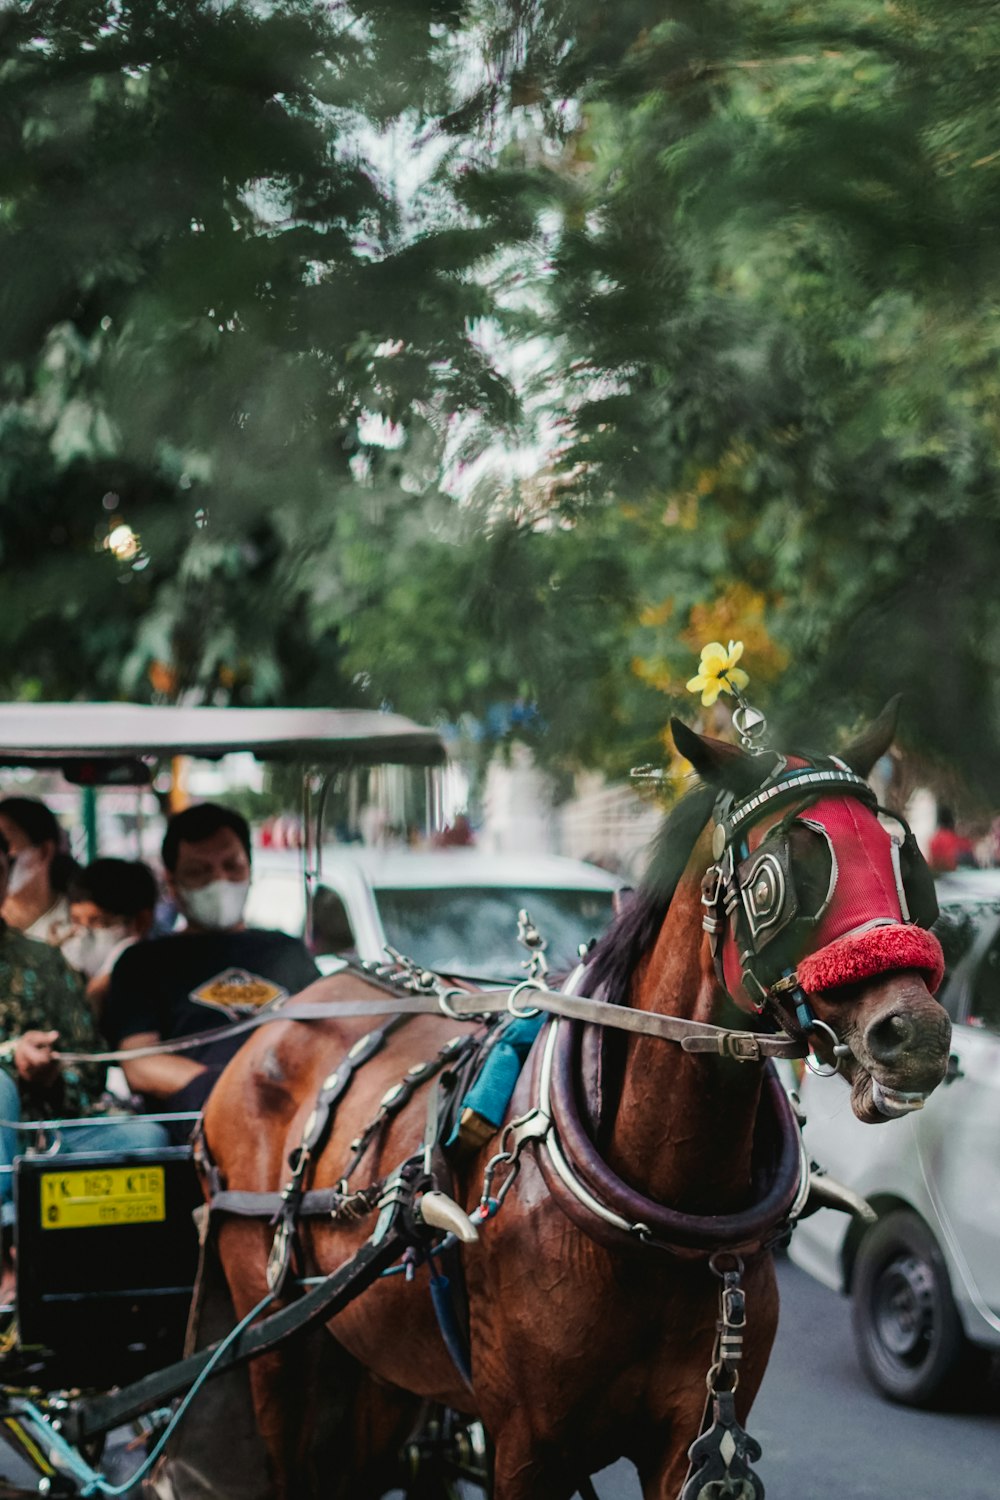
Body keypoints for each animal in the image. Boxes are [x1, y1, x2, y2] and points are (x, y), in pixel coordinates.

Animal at [197, 708, 953, 1494]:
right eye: (790, 869)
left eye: (904, 860)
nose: (917, 1032)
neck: (669, 1216)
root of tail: (283, 1012)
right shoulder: (527, 1447)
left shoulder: (693, 1435)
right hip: (278, 1342)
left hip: (381, 1360)